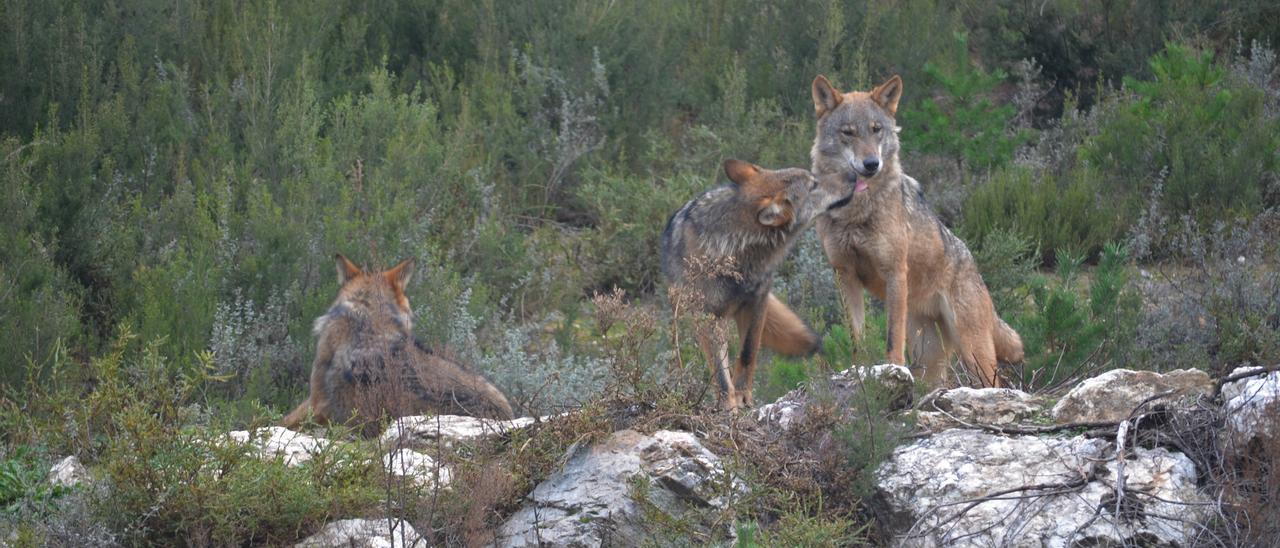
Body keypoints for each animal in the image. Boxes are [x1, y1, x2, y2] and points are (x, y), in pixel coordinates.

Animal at [808, 74, 1029, 386]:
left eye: (876, 130)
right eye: (848, 133)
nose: (871, 164)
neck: (856, 210)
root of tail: (973, 266)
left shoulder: (894, 272)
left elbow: (892, 337)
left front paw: (892, 370)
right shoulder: (845, 275)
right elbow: (857, 338)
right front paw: (859, 372)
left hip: (974, 353)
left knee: (995, 383)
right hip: (930, 358)